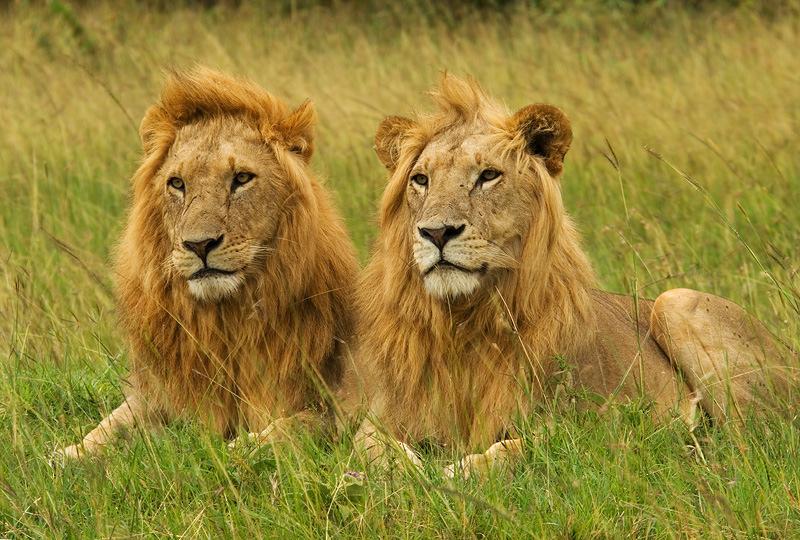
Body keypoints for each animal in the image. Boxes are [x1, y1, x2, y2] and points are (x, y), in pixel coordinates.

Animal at [55, 65, 356, 458]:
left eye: (241, 178)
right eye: (177, 183)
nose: (199, 244)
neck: (224, 322)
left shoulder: (330, 406)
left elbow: (295, 426)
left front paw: (240, 448)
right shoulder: (159, 394)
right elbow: (110, 425)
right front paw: (66, 455)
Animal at [344, 75, 792, 476]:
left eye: (488, 175)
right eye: (420, 179)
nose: (436, 232)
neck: (463, 320)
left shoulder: (582, 426)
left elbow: (513, 450)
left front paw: (455, 472)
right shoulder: (379, 418)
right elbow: (375, 450)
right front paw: (412, 474)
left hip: (677, 303)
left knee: (751, 438)